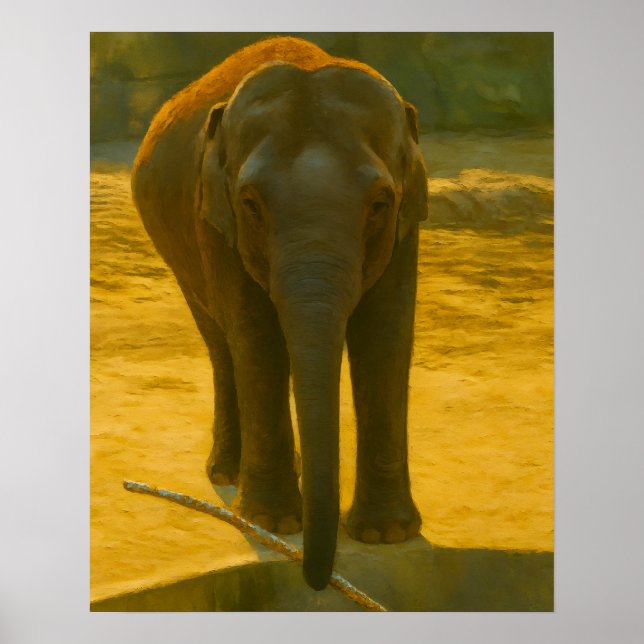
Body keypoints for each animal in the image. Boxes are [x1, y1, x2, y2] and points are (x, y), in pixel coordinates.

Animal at [131, 36, 428, 591]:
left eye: (380, 203)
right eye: (251, 203)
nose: (317, 580)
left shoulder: (407, 222)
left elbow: (385, 335)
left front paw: (386, 535)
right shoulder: (215, 217)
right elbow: (256, 336)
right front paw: (272, 521)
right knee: (221, 343)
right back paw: (227, 474)